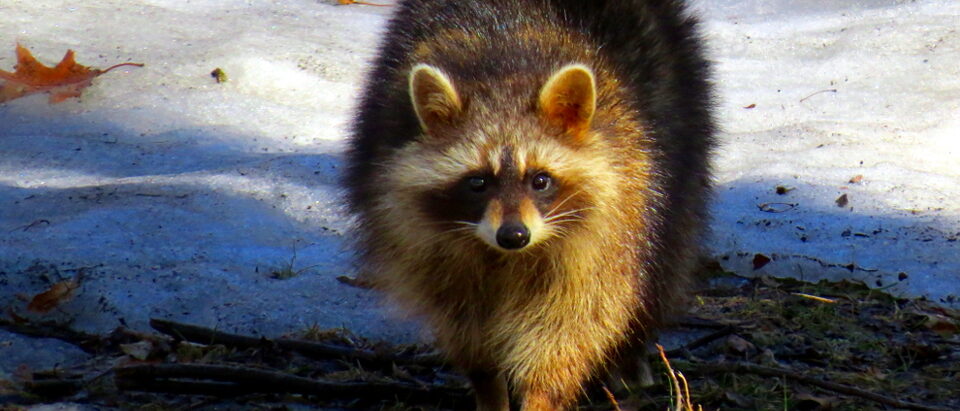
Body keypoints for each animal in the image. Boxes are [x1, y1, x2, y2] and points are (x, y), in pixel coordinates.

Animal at [345, 0, 713, 409]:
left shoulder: (609, 226)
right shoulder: (426, 247)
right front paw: (488, 389)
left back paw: (633, 353)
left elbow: (570, 328)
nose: (513, 235)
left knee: (664, 262)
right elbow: (468, 330)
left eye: (540, 180)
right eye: (478, 182)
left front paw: (542, 395)